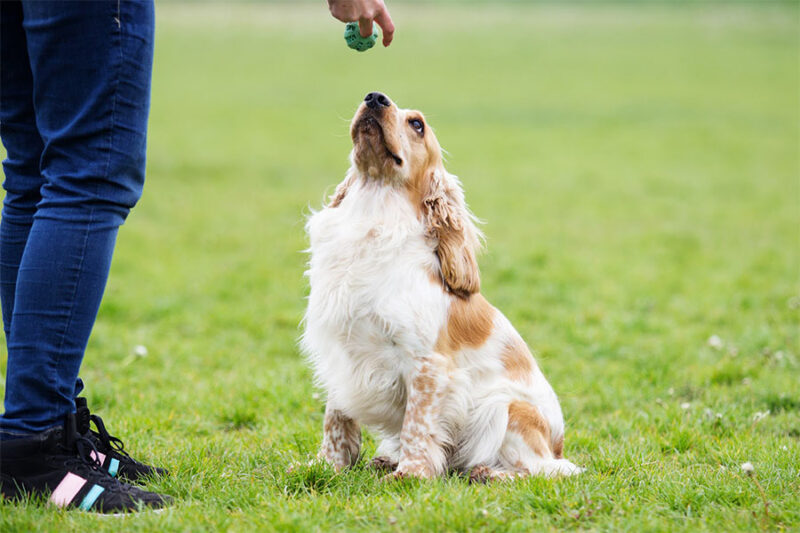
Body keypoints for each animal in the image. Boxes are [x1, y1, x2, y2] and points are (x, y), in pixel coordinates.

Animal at [300, 92, 580, 482]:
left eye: (417, 124)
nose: (375, 98)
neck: (374, 216)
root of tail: (558, 443)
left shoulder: (427, 365)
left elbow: (418, 425)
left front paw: (410, 474)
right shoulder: (342, 354)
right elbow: (336, 420)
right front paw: (328, 465)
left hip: (506, 409)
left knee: (548, 469)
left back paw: (485, 472)